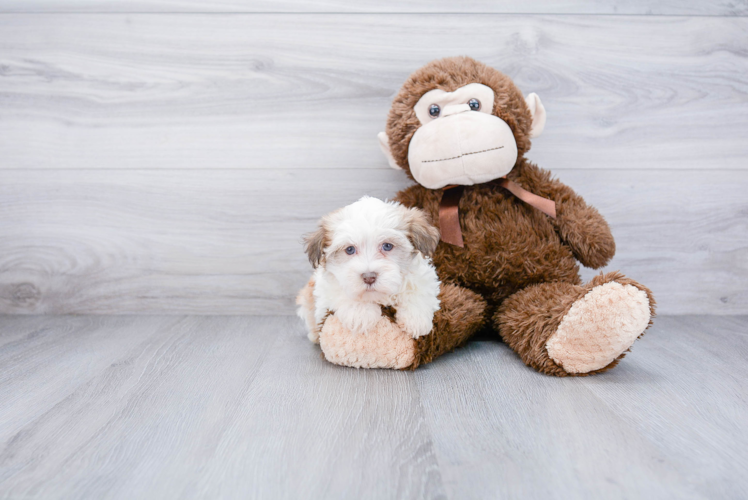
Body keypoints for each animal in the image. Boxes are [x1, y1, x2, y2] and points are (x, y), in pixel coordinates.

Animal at [296, 196, 438, 344]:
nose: (369, 277)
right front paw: (361, 312)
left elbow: (418, 289)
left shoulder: (423, 276)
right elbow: (339, 291)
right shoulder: (324, 289)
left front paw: (416, 318)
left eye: (387, 246)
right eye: (350, 249)